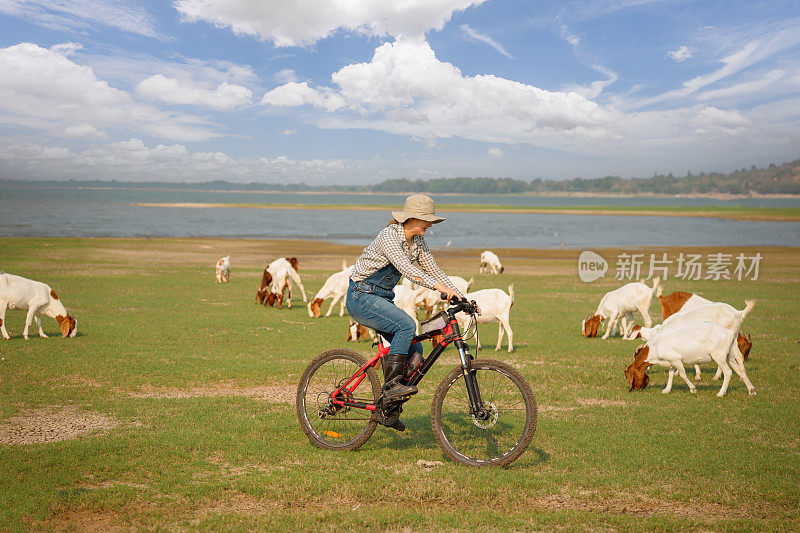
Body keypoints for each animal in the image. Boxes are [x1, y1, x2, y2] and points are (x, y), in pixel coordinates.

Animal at [624, 320, 756, 394]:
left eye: (628, 376)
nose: (635, 388)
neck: (655, 346)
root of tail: (730, 333)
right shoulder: (671, 362)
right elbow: (671, 374)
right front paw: (667, 390)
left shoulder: (676, 360)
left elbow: (682, 374)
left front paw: (693, 389)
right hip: (729, 355)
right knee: (740, 371)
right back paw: (751, 390)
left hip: (719, 356)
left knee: (728, 372)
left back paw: (721, 392)